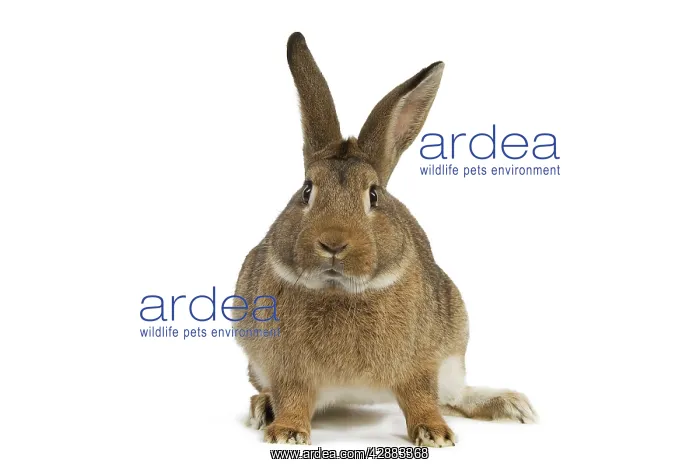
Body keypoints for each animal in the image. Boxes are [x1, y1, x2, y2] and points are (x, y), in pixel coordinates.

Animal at [233, 32, 536, 447]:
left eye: (373, 195)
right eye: (307, 191)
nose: (333, 243)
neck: (341, 291)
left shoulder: (421, 360)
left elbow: (421, 396)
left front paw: (436, 434)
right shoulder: (286, 367)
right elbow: (293, 396)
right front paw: (286, 433)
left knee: (453, 396)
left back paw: (510, 405)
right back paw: (263, 408)